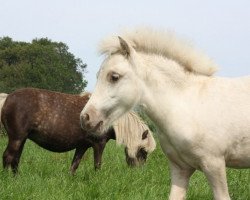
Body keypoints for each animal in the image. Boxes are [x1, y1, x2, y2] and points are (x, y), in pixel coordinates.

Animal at [0, 87, 155, 173]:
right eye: (143, 151)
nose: (139, 173)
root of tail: (7, 98)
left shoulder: (82, 146)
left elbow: (74, 166)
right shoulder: (99, 144)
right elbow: (97, 165)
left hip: (22, 139)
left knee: (15, 159)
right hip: (16, 138)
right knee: (8, 157)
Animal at [80, 28, 250, 200]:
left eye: (114, 76)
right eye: (97, 76)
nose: (85, 118)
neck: (188, 104)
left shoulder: (214, 165)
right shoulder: (180, 168)